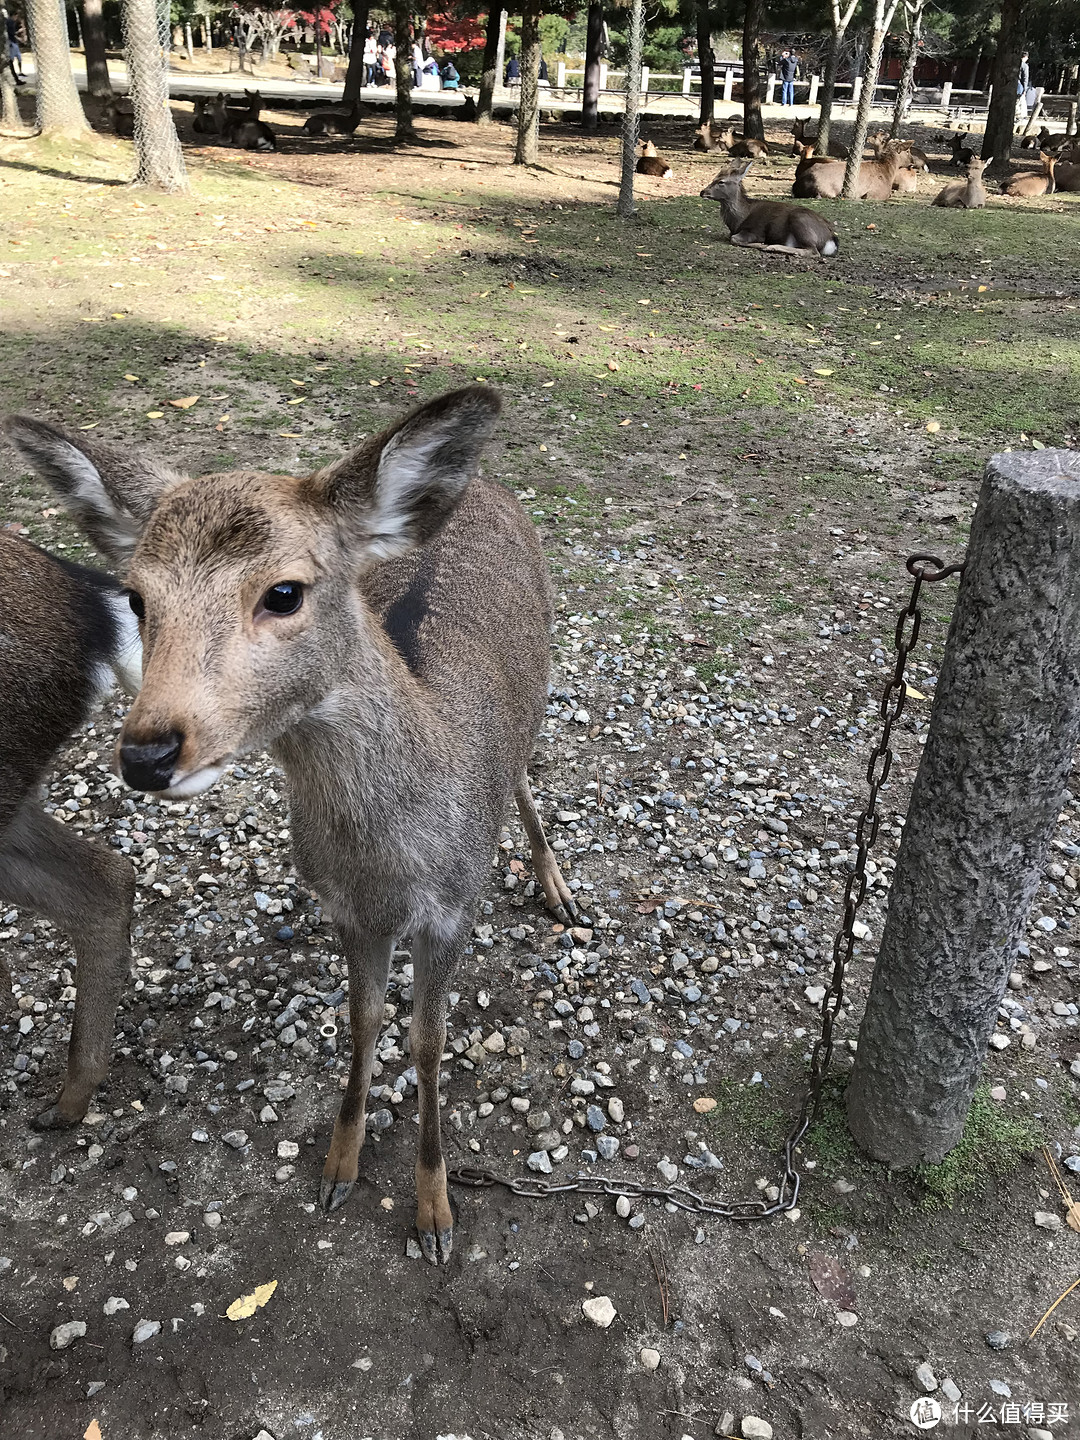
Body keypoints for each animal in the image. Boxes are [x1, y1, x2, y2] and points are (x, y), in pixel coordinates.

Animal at [4, 388, 578, 1267]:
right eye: (136, 598)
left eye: (283, 592)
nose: (148, 752)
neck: (388, 860)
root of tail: (485, 484)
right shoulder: (348, 910)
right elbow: (364, 1020)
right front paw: (338, 1167)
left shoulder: (453, 909)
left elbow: (430, 1041)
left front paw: (435, 1214)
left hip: (537, 692)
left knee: (521, 771)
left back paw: (558, 887)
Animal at [702, 164, 846, 262]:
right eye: (714, 178)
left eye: (721, 181)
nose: (702, 192)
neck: (739, 220)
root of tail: (831, 239)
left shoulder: (755, 231)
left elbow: (734, 239)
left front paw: (760, 244)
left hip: (800, 219)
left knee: (813, 251)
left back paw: (772, 247)